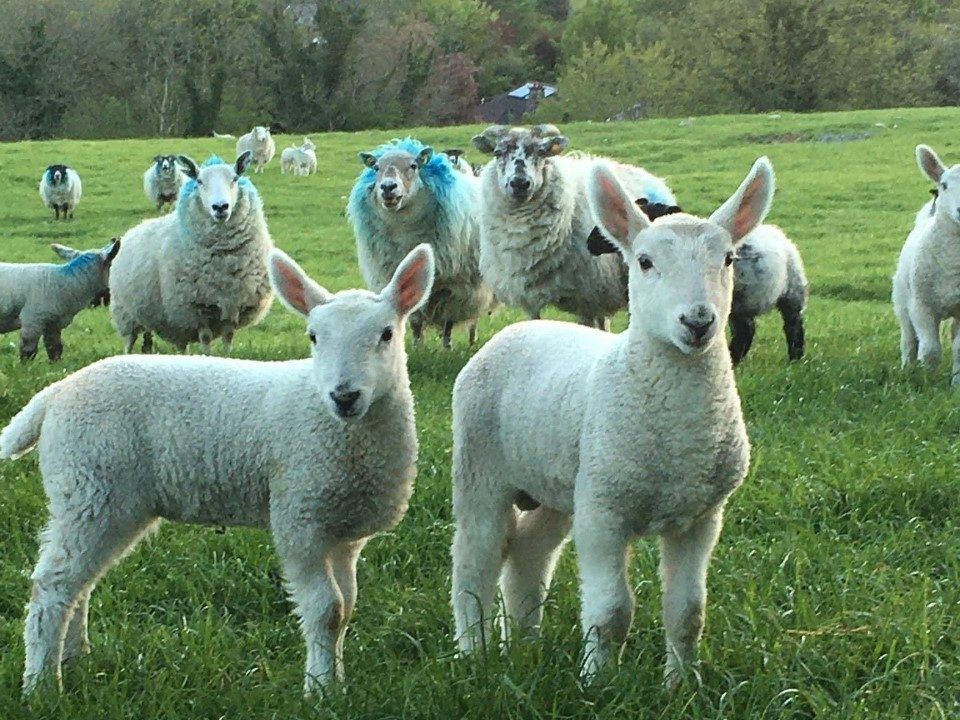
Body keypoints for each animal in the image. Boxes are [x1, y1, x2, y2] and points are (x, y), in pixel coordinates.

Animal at [1, 243, 436, 696]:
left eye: (386, 334)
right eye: (313, 337)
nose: (344, 396)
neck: (341, 430)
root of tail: (55, 394)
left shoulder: (345, 532)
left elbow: (347, 607)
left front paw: (338, 683)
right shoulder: (300, 517)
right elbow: (326, 609)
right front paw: (318, 690)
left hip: (101, 499)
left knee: (78, 582)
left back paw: (73, 658)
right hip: (90, 488)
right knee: (53, 584)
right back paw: (41, 685)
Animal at [109, 152, 274, 354]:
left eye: (235, 179)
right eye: (200, 181)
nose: (220, 207)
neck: (225, 262)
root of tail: (132, 229)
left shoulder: (234, 304)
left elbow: (228, 339)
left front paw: (227, 357)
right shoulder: (196, 308)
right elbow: (205, 338)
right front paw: (206, 357)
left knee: (179, 344)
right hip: (125, 313)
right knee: (129, 340)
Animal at [347, 137, 495, 348]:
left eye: (414, 166)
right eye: (376, 168)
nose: (388, 187)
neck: (406, 233)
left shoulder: (454, 286)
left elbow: (449, 319)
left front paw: (447, 347)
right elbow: (416, 319)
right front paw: (418, 346)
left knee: (473, 319)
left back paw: (472, 340)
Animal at [451, 157, 774, 687]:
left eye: (728, 259)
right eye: (643, 262)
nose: (698, 322)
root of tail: (516, 330)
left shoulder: (700, 517)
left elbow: (687, 612)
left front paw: (679, 687)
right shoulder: (604, 512)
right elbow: (611, 612)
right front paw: (596, 683)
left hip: (560, 486)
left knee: (528, 554)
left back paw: (526, 643)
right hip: (481, 468)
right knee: (474, 561)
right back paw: (473, 653)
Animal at [893, 144, 960, 384]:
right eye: (944, 185)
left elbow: (959, 349)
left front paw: (956, 384)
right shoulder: (921, 306)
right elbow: (930, 350)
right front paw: (927, 382)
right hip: (902, 299)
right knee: (909, 340)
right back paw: (907, 367)